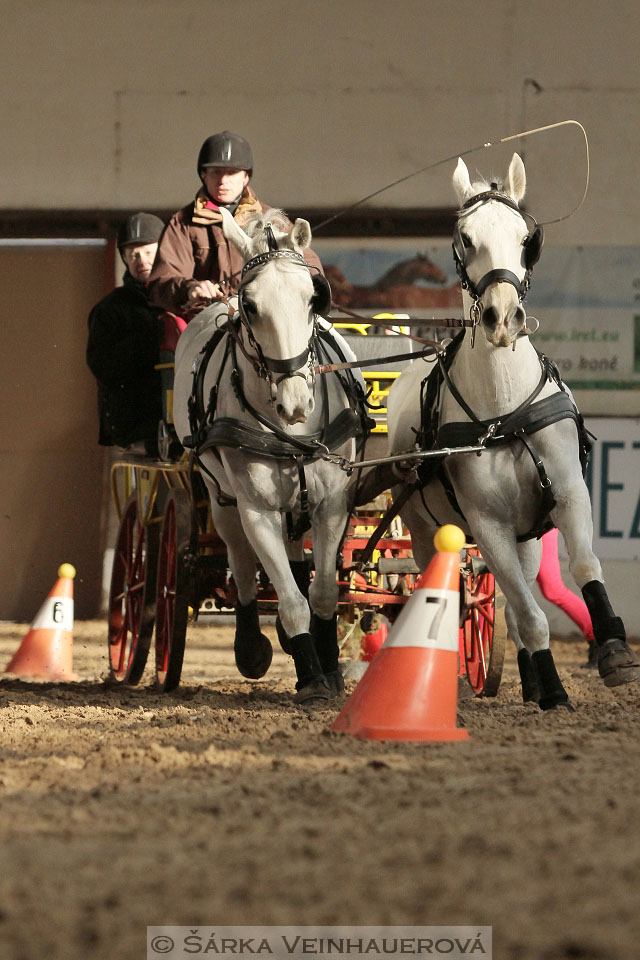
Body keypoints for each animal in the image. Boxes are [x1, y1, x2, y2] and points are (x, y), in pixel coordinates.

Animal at [175, 208, 368, 704]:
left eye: (312, 299)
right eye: (251, 306)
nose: (296, 401)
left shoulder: (331, 502)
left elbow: (322, 593)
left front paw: (330, 670)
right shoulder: (256, 508)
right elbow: (290, 601)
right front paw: (311, 677)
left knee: (295, 554)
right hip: (221, 497)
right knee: (242, 565)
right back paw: (251, 647)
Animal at [388, 154, 636, 708]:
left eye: (528, 238)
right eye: (464, 238)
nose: (503, 319)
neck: (504, 413)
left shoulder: (568, 492)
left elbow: (584, 568)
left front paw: (613, 651)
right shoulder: (487, 526)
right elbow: (528, 613)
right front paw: (556, 691)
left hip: (528, 534)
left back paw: (532, 681)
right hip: (425, 532)